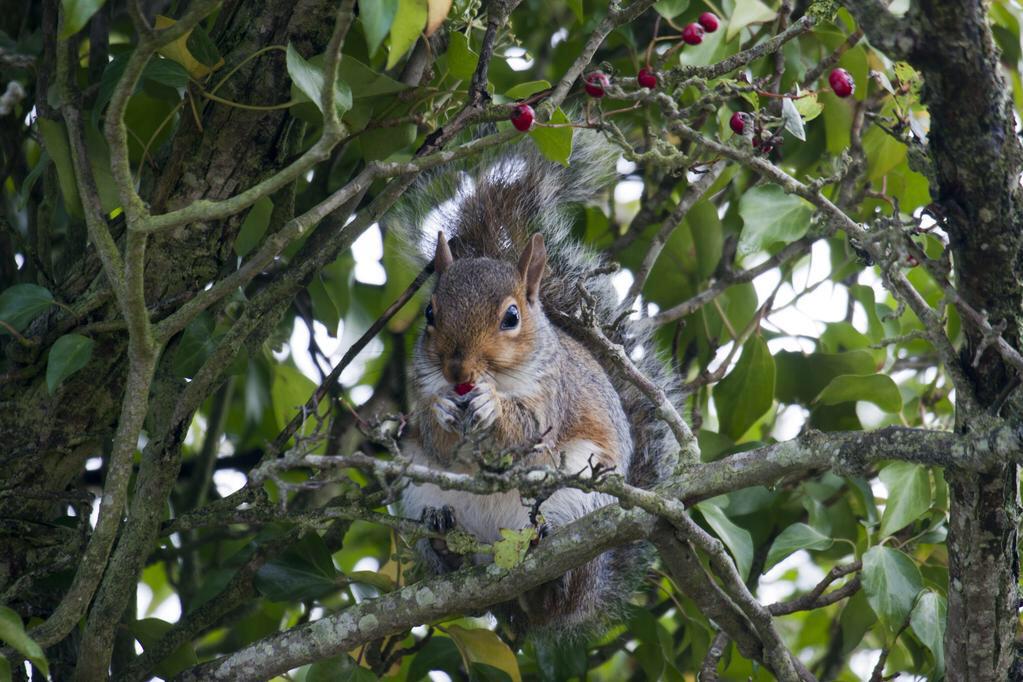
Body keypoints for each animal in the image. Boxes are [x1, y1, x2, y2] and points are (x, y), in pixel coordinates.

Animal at [386, 129, 679, 638]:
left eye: (511, 317)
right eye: (430, 314)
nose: (458, 373)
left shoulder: (553, 394)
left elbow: (528, 433)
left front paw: (493, 409)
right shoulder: (422, 386)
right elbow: (437, 441)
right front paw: (440, 412)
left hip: (581, 508)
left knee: (559, 586)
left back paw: (551, 568)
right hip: (423, 496)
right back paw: (443, 536)